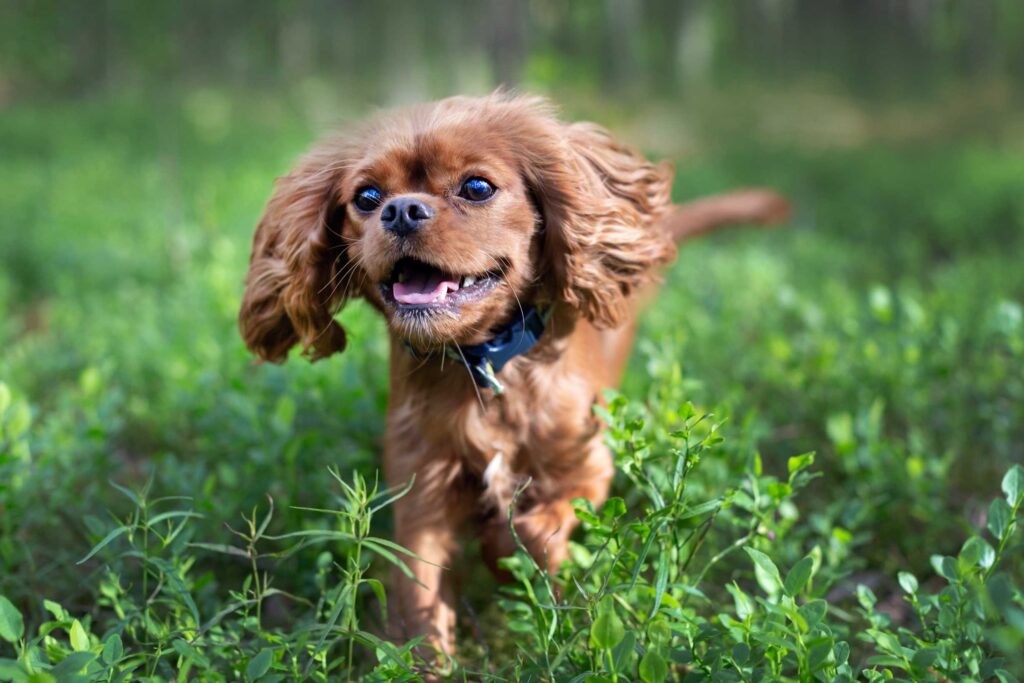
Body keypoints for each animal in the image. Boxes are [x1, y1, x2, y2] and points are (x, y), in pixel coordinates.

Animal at [235, 92, 786, 655]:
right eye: (366, 197)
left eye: (477, 188)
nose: (401, 209)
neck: (484, 364)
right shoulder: (422, 494)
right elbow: (421, 601)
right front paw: (429, 658)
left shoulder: (586, 469)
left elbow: (535, 533)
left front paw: (508, 560)